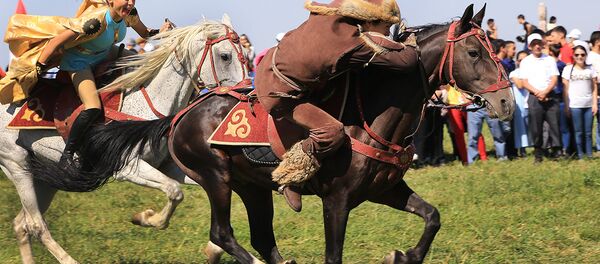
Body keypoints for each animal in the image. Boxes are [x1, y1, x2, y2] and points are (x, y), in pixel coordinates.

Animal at [0, 16, 247, 264]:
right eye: (226, 56)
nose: (246, 92)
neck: (151, 101)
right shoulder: (128, 167)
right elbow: (175, 191)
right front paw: (147, 218)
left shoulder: (168, 165)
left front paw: (215, 248)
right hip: (17, 164)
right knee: (35, 224)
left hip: (44, 176)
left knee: (22, 224)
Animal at [166, 4, 512, 264]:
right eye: (473, 52)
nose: (506, 101)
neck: (371, 117)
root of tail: (183, 114)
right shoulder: (336, 200)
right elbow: (334, 256)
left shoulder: (386, 189)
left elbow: (432, 216)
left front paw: (404, 255)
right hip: (216, 177)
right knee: (222, 233)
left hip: (253, 187)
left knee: (261, 238)